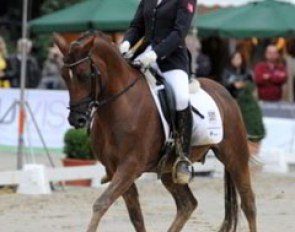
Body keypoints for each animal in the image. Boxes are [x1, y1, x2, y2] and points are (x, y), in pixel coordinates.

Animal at [54, 31, 258, 232]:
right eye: (64, 75)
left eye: (84, 75)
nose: (76, 120)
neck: (122, 104)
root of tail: (224, 91)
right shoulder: (115, 168)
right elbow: (136, 216)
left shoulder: (130, 166)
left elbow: (101, 204)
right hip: (169, 169)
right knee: (187, 204)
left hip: (235, 156)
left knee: (248, 203)